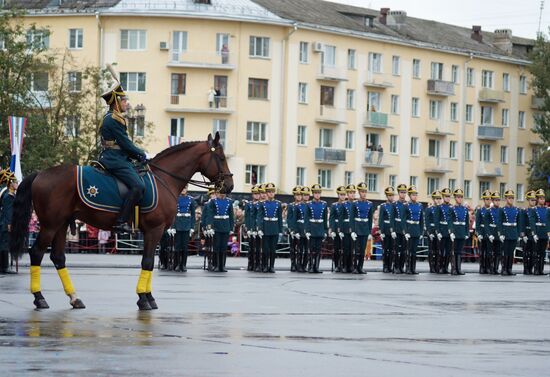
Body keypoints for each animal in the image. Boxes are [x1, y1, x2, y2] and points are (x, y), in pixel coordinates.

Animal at [10, 131, 234, 308]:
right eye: (221, 157)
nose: (230, 185)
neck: (165, 180)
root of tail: (41, 173)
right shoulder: (154, 230)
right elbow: (148, 262)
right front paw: (144, 299)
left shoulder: (155, 232)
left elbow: (149, 263)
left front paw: (148, 297)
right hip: (50, 225)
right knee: (36, 252)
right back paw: (39, 298)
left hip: (61, 225)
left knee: (58, 257)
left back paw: (74, 298)